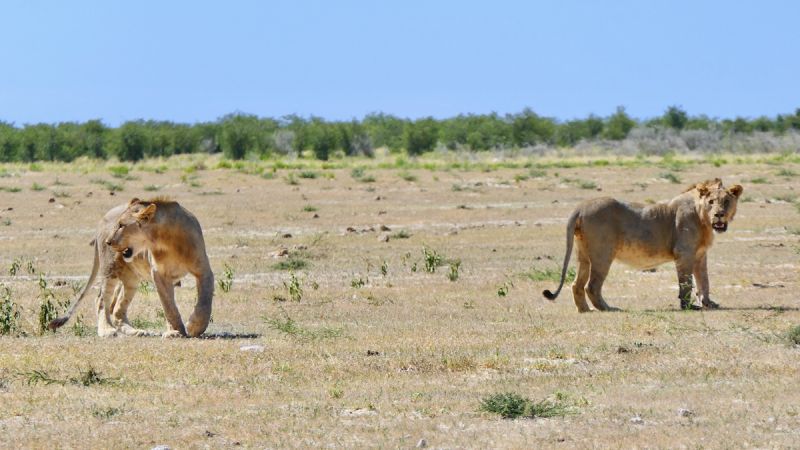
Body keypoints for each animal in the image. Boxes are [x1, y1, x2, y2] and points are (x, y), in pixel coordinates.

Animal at [49, 202, 154, 336]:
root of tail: (103, 219)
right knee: (101, 299)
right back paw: (107, 331)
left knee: (117, 305)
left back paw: (133, 331)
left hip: (130, 276)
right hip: (111, 268)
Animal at [105, 197, 216, 338]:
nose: (108, 242)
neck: (166, 241)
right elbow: (168, 305)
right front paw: (175, 331)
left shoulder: (203, 270)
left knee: (117, 308)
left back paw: (133, 331)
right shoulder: (159, 274)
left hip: (131, 279)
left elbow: (205, 300)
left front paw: (195, 326)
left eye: (121, 225)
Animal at [544, 178, 744, 312]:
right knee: (591, 286)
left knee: (576, 285)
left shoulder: (700, 255)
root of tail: (580, 207)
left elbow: (704, 281)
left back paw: (585, 310)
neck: (703, 220)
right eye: (711, 202)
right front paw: (688, 306)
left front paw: (709, 303)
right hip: (603, 254)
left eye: (726, 201)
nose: (719, 214)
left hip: (583, 254)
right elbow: (686, 283)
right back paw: (608, 308)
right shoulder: (684, 253)